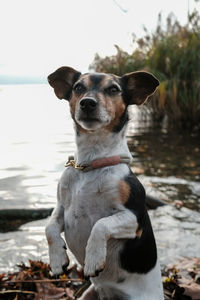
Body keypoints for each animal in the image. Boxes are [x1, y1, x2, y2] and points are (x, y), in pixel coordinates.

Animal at [45, 66, 164, 300]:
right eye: (78, 87)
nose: (88, 103)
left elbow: (100, 224)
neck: (91, 163)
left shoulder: (134, 218)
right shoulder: (62, 208)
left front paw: (93, 258)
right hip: (88, 294)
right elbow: (49, 227)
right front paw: (57, 260)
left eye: (113, 89)